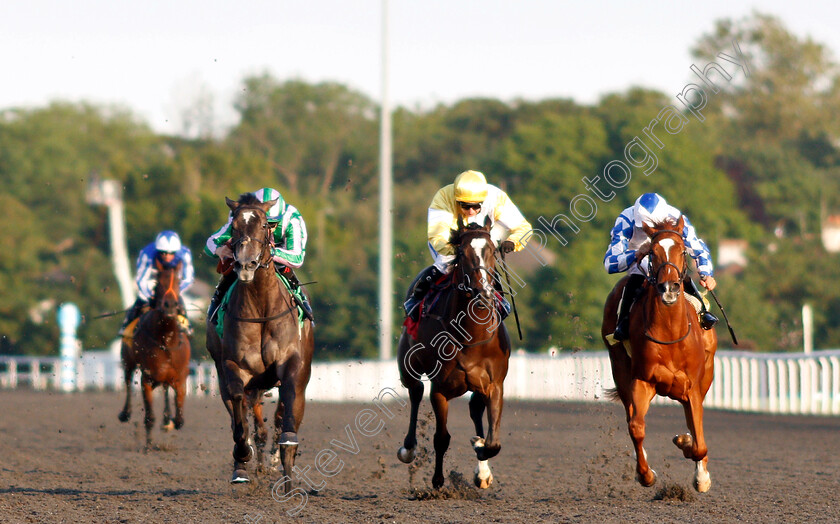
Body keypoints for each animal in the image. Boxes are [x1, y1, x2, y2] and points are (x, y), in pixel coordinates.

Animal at [118, 258, 192, 446]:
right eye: (158, 282)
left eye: (178, 281)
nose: (170, 305)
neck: (166, 340)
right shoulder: (147, 379)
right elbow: (150, 417)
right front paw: (149, 445)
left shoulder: (180, 378)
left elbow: (180, 418)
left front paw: (170, 422)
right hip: (128, 361)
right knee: (128, 381)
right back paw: (125, 413)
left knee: (165, 390)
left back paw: (166, 419)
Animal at [207, 193, 316, 488]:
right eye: (234, 227)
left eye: (265, 225)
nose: (246, 265)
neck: (261, 310)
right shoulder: (233, 366)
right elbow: (238, 409)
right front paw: (243, 456)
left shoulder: (292, 364)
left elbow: (288, 411)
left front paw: (285, 459)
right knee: (244, 413)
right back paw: (245, 464)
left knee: (281, 416)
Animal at [398, 216, 512, 488]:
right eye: (462, 252)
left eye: (492, 250)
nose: (484, 292)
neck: (471, 335)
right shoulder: (440, 388)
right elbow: (441, 437)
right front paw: (438, 481)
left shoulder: (494, 384)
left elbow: (493, 442)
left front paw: (480, 448)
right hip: (407, 364)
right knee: (415, 391)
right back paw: (408, 449)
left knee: (474, 409)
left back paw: (482, 469)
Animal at [600, 215, 720, 494]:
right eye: (652, 252)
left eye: (683, 250)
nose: (669, 288)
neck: (670, 332)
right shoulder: (642, 380)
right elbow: (636, 427)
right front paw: (645, 474)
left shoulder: (692, 386)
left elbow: (699, 441)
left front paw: (699, 473)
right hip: (620, 370)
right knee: (631, 416)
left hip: (706, 375)